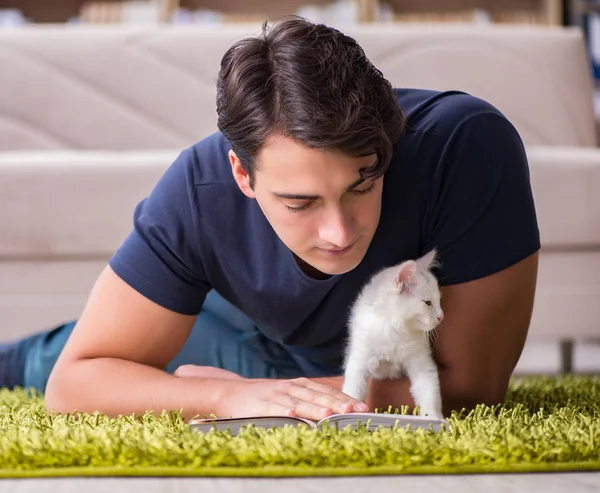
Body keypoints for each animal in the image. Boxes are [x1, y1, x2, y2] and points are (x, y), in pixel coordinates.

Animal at [342, 250, 446, 418]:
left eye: (439, 301)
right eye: (428, 303)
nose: (441, 317)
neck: (395, 331)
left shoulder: (422, 364)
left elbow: (430, 395)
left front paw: (435, 420)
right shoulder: (359, 360)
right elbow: (353, 391)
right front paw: (348, 412)